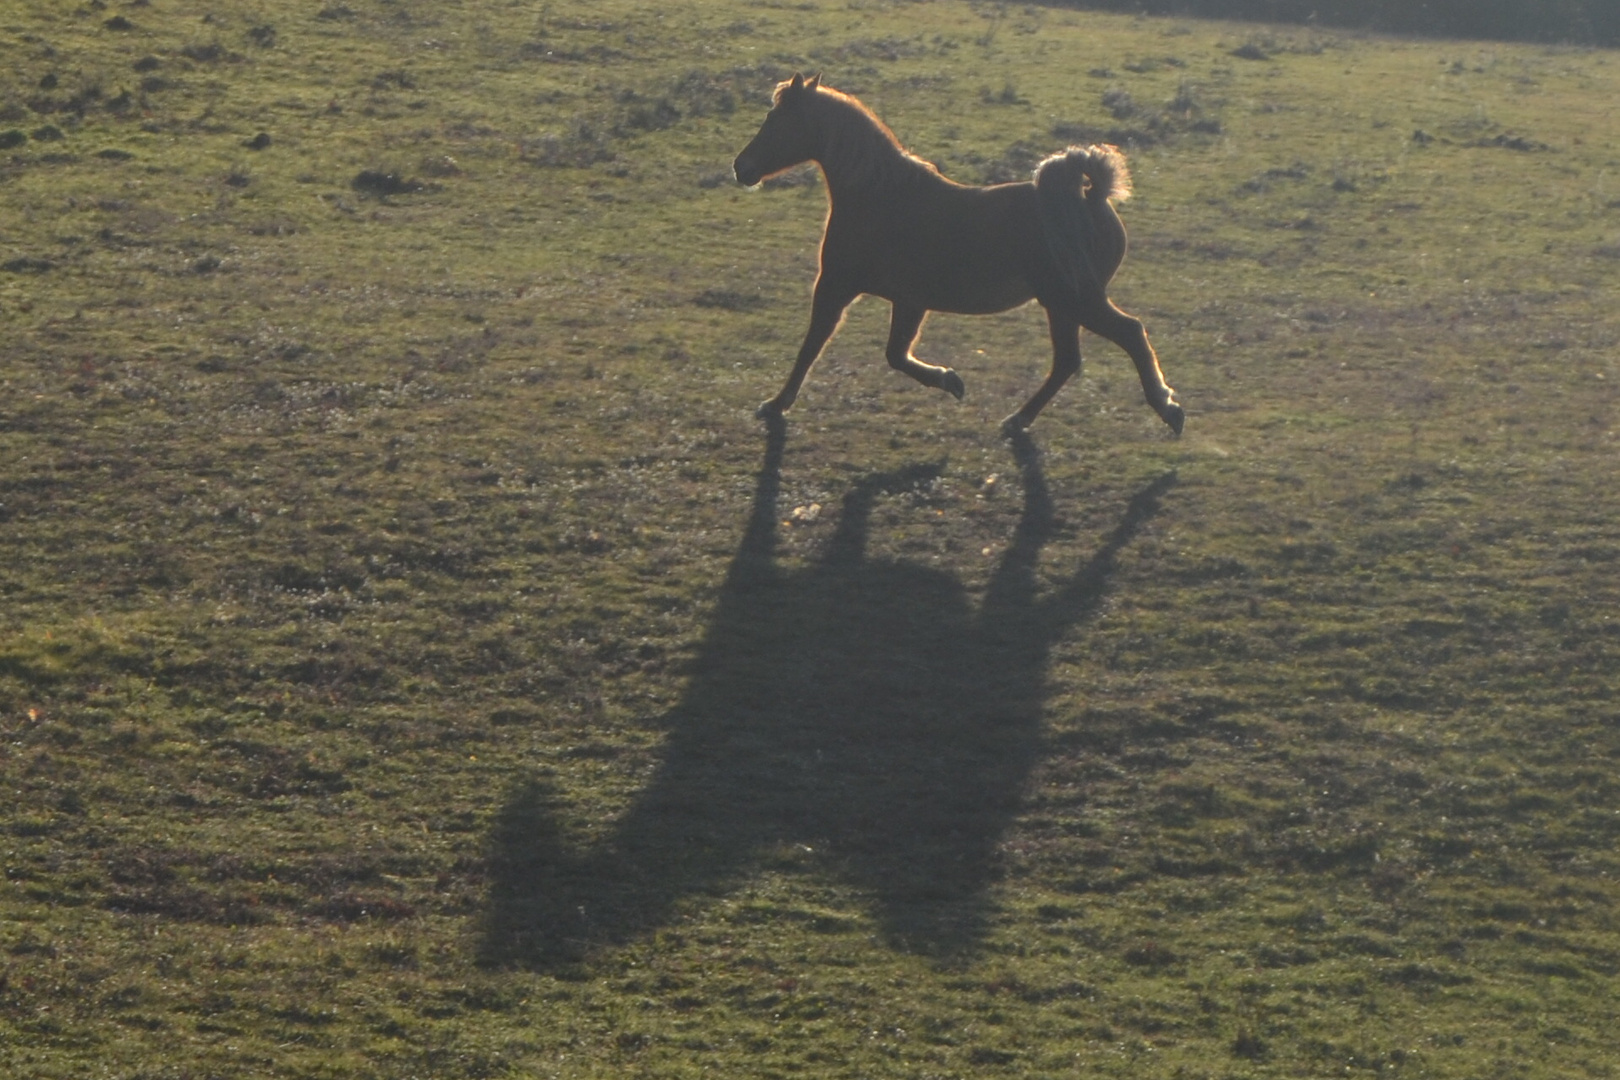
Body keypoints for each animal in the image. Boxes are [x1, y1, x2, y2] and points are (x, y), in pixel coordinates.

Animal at [732, 71, 1179, 437]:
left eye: (776, 119)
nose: (741, 167)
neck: (880, 195)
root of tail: (1093, 196)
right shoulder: (908, 301)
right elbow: (896, 355)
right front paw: (951, 381)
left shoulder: (838, 287)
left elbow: (813, 346)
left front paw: (775, 405)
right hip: (1061, 304)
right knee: (1068, 361)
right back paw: (1018, 420)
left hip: (1076, 299)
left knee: (1129, 333)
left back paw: (1168, 409)